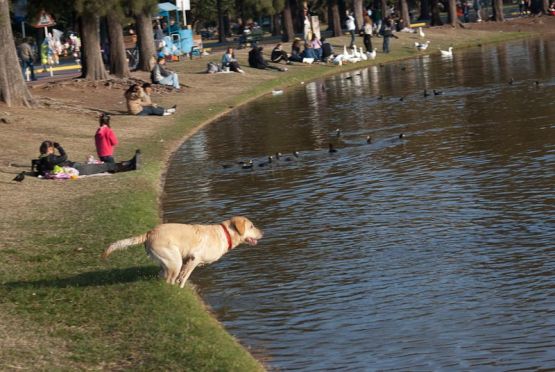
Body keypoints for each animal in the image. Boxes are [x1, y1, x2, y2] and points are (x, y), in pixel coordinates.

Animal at [101, 215, 262, 288]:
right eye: (252, 226)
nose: (263, 233)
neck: (225, 233)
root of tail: (150, 233)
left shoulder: (188, 259)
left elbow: (184, 275)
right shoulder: (194, 258)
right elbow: (185, 275)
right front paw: (181, 286)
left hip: (168, 261)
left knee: (161, 274)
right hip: (174, 261)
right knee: (169, 279)